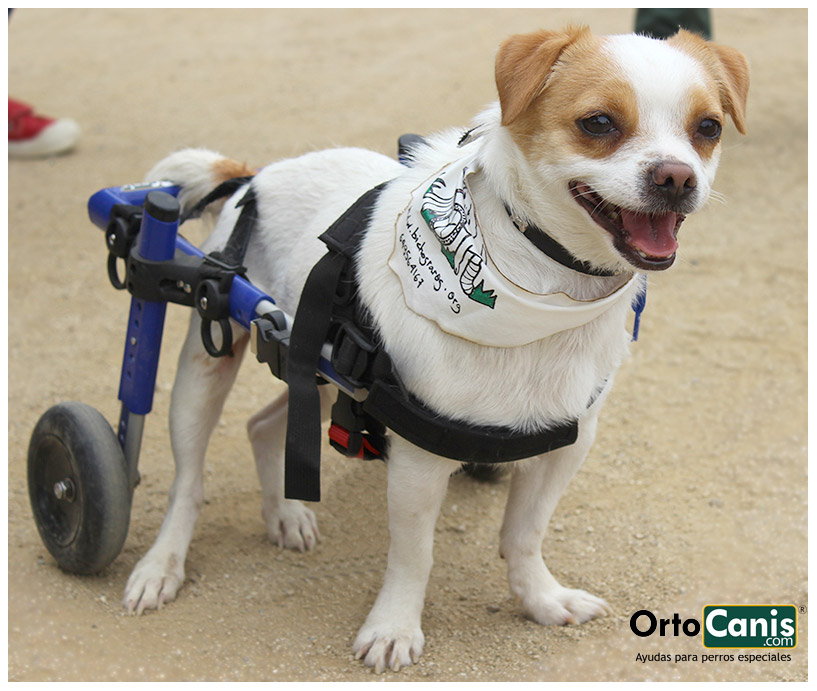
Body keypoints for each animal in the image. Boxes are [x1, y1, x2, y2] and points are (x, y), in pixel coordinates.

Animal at [121, 27, 744, 676]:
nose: (677, 178)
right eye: (598, 122)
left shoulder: (566, 445)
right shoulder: (419, 462)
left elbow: (525, 536)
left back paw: (285, 515)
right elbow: (414, 556)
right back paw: (160, 566)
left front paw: (540, 600)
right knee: (186, 484)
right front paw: (394, 628)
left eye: (708, 127)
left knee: (266, 426)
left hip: (314, 363)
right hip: (206, 364)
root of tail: (256, 176)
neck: (540, 287)